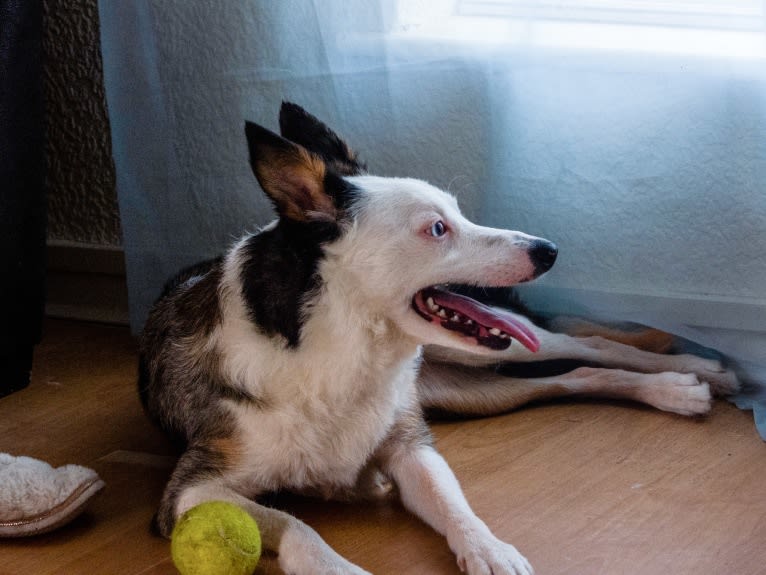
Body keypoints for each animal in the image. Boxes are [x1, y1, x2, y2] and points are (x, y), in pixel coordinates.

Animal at [141, 103, 740, 575]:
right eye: (436, 227)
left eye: (457, 214)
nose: (549, 250)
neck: (345, 346)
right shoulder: (192, 492)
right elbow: (296, 527)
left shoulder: (412, 446)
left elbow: (455, 506)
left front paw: (490, 549)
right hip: (470, 390)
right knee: (572, 378)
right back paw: (679, 388)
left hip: (475, 358)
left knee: (586, 349)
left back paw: (690, 374)